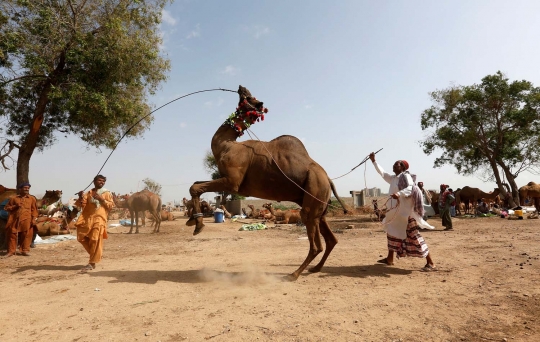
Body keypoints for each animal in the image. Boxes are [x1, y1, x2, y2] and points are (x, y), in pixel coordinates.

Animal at [188, 85, 348, 280]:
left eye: (251, 98)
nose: (241, 87)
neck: (227, 145)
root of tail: (328, 179)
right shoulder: (227, 180)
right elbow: (196, 183)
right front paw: (192, 221)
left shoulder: (232, 182)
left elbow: (195, 186)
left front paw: (198, 225)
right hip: (320, 204)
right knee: (330, 238)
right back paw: (315, 269)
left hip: (314, 193)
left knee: (315, 241)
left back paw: (294, 274)